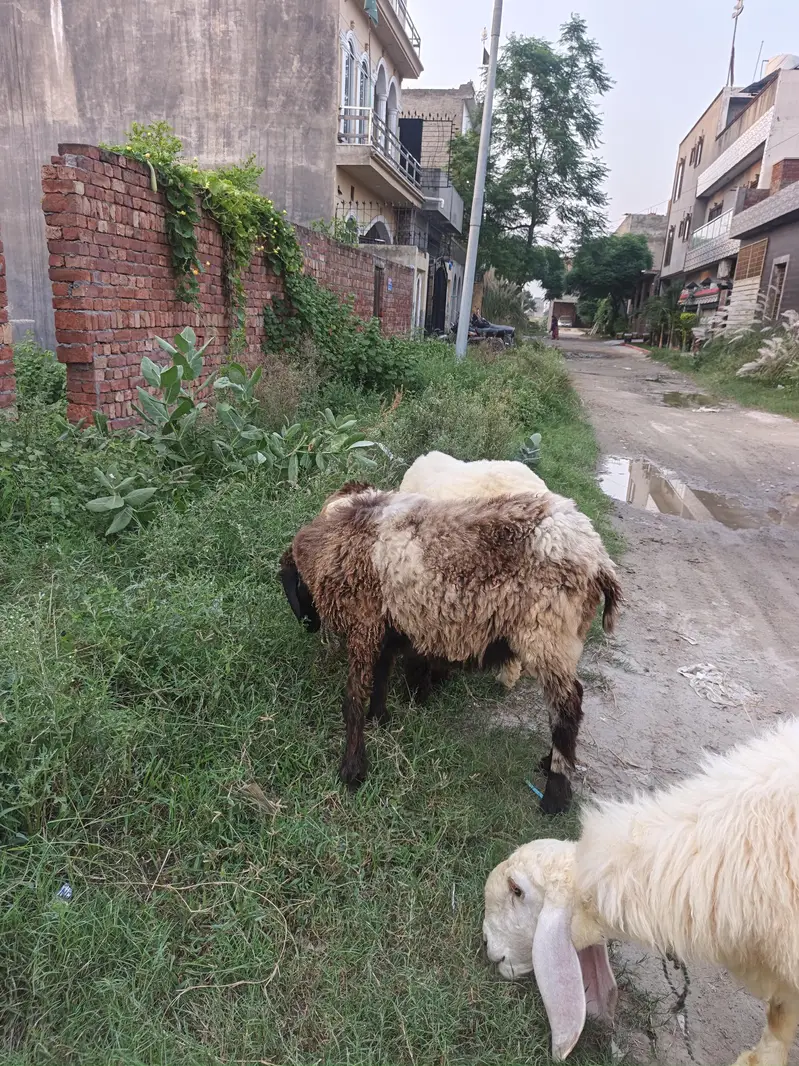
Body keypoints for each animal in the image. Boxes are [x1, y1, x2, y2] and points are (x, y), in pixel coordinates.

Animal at [279, 480, 622, 814]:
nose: (308, 625)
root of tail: (599, 559)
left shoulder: (364, 623)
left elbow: (353, 696)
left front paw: (352, 770)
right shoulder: (384, 625)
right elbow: (381, 674)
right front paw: (380, 718)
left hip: (547, 633)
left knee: (567, 708)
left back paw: (554, 797)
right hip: (564, 636)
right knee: (568, 702)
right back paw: (549, 763)